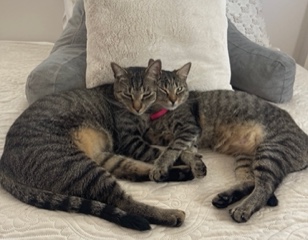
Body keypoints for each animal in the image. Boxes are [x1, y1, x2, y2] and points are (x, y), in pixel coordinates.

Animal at [0, 59, 190, 231]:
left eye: (146, 94)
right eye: (128, 95)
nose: (137, 108)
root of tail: (3, 162)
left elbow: (161, 146)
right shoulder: (130, 141)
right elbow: (159, 152)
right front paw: (185, 156)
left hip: (100, 158)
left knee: (137, 172)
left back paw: (184, 172)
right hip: (79, 167)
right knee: (123, 201)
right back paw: (171, 214)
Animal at [146, 62, 308, 223]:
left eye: (178, 89)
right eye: (163, 89)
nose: (173, 100)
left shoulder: (189, 129)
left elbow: (171, 150)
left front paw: (159, 167)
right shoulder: (184, 140)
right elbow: (184, 153)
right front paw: (196, 164)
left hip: (270, 152)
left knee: (265, 188)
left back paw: (243, 209)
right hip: (246, 158)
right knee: (251, 181)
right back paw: (225, 198)